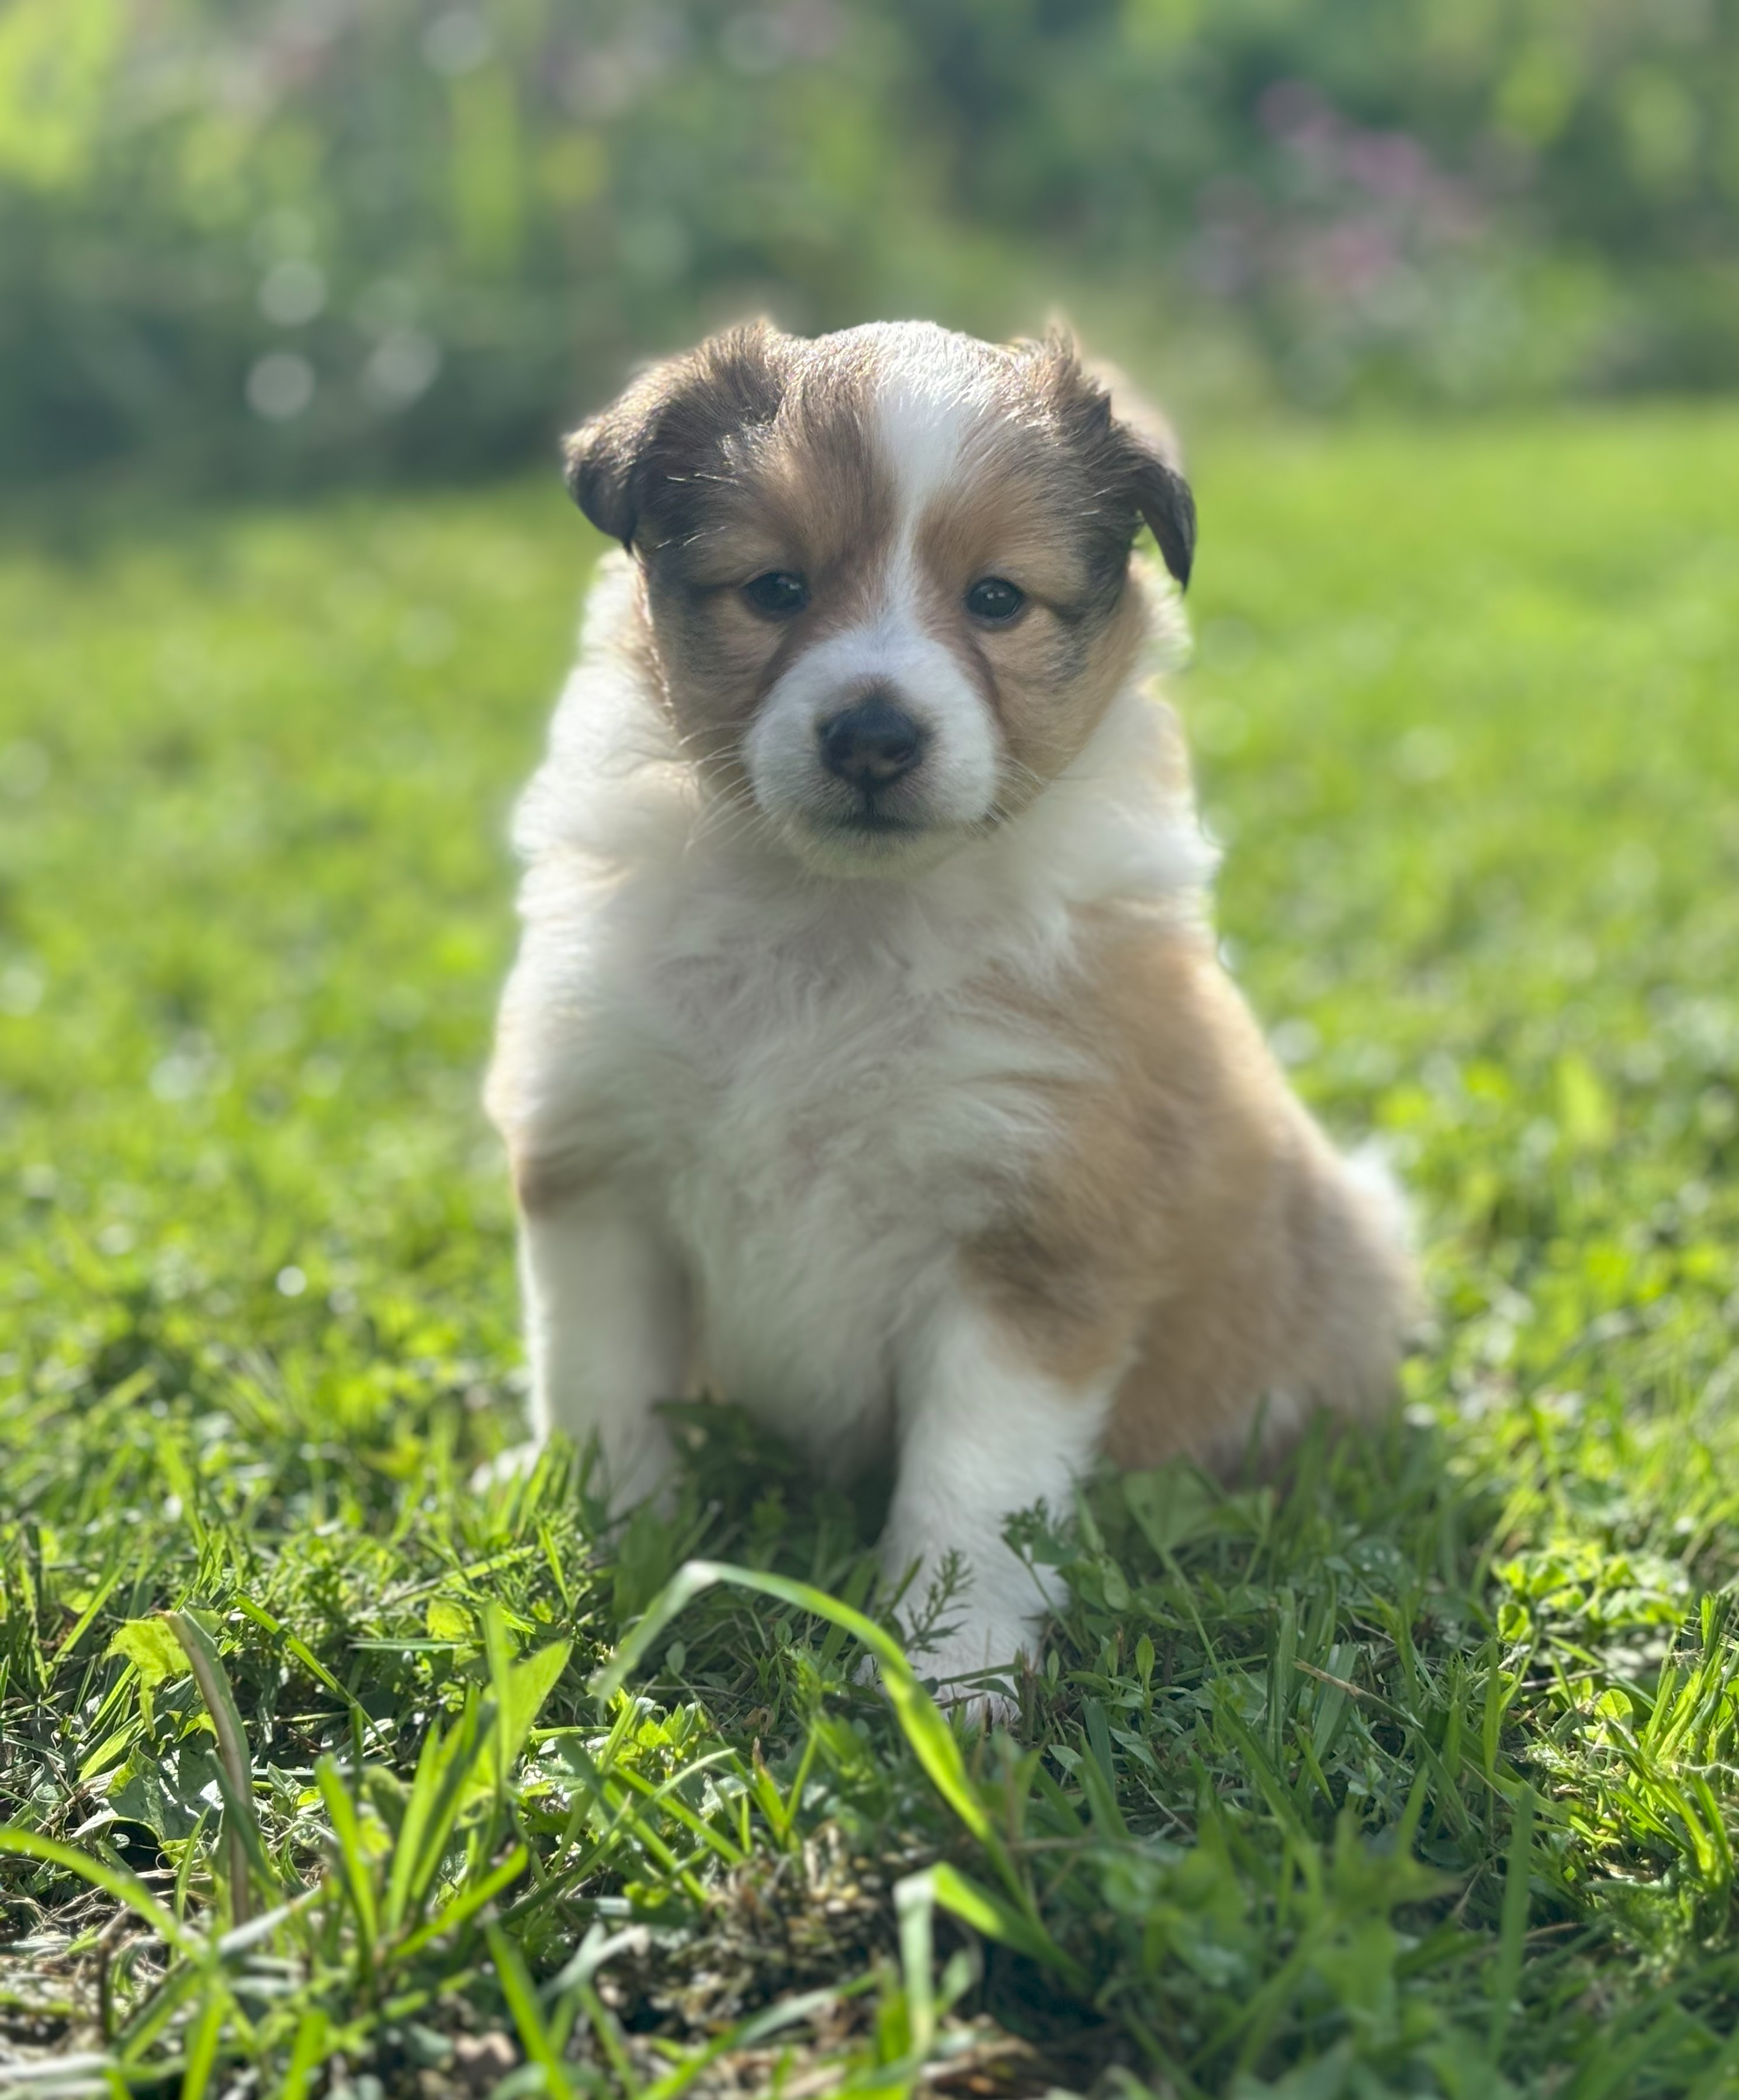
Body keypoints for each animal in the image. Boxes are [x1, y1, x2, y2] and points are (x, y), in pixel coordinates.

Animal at [485, 319, 1411, 1705]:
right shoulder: (599, 1173)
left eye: (996, 599)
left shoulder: (1036, 1234)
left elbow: (974, 1491)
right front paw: (612, 1563)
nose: (873, 737)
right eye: (776, 588)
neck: (838, 925)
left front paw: (950, 1680)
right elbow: (602, 1396)